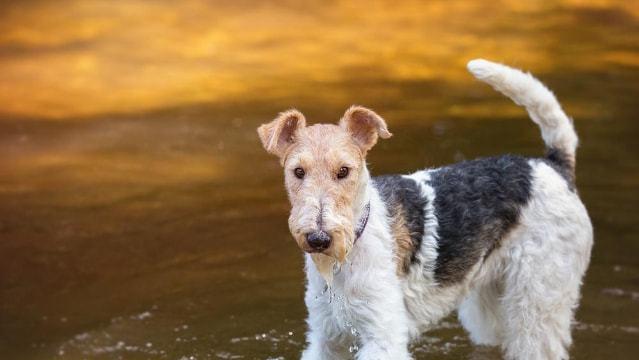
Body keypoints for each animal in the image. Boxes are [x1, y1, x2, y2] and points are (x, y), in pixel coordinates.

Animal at [256, 59, 596, 360]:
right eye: (298, 172)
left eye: (344, 171)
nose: (319, 239)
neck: (354, 243)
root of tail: (553, 166)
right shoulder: (327, 338)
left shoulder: (382, 336)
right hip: (489, 303)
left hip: (538, 300)